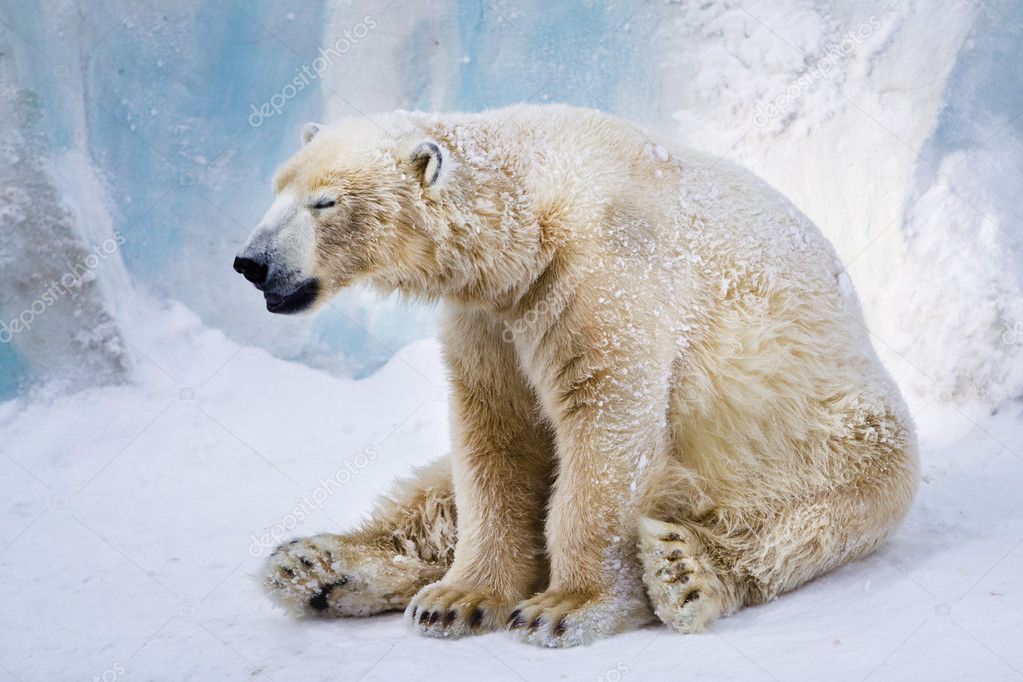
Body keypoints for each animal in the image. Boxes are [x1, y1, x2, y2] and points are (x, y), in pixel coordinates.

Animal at [234, 104, 920, 650]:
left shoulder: (603, 272)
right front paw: (456, 600)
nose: (250, 261)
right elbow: (495, 437)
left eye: (325, 201)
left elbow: (604, 427)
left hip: (828, 431)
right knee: (433, 495)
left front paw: (566, 608)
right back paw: (313, 565)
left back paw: (685, 570)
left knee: (811, 516)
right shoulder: (492, 317)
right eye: (276, 188)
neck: (532, 209)